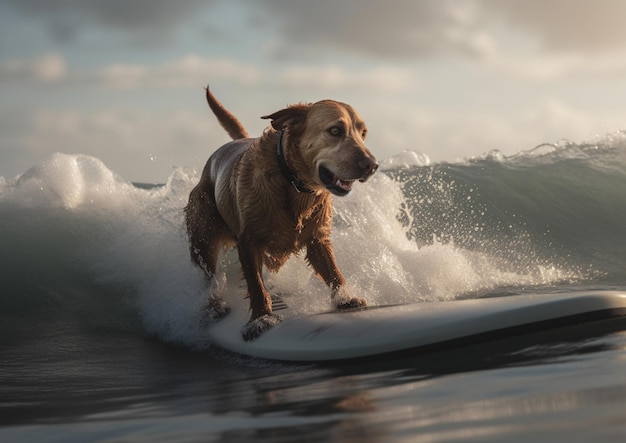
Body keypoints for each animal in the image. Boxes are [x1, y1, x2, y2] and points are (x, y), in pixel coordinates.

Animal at [183, 87, 378, 344]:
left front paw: (345, 298)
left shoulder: (317, 238)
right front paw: (261, 319)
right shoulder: (248, 240)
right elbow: (256, 284)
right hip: (203, 230)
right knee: (209, 273)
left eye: (363, 133)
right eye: (335, 130)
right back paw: (215, 303)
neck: (293, 183)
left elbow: (333, 270)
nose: (372, 165)